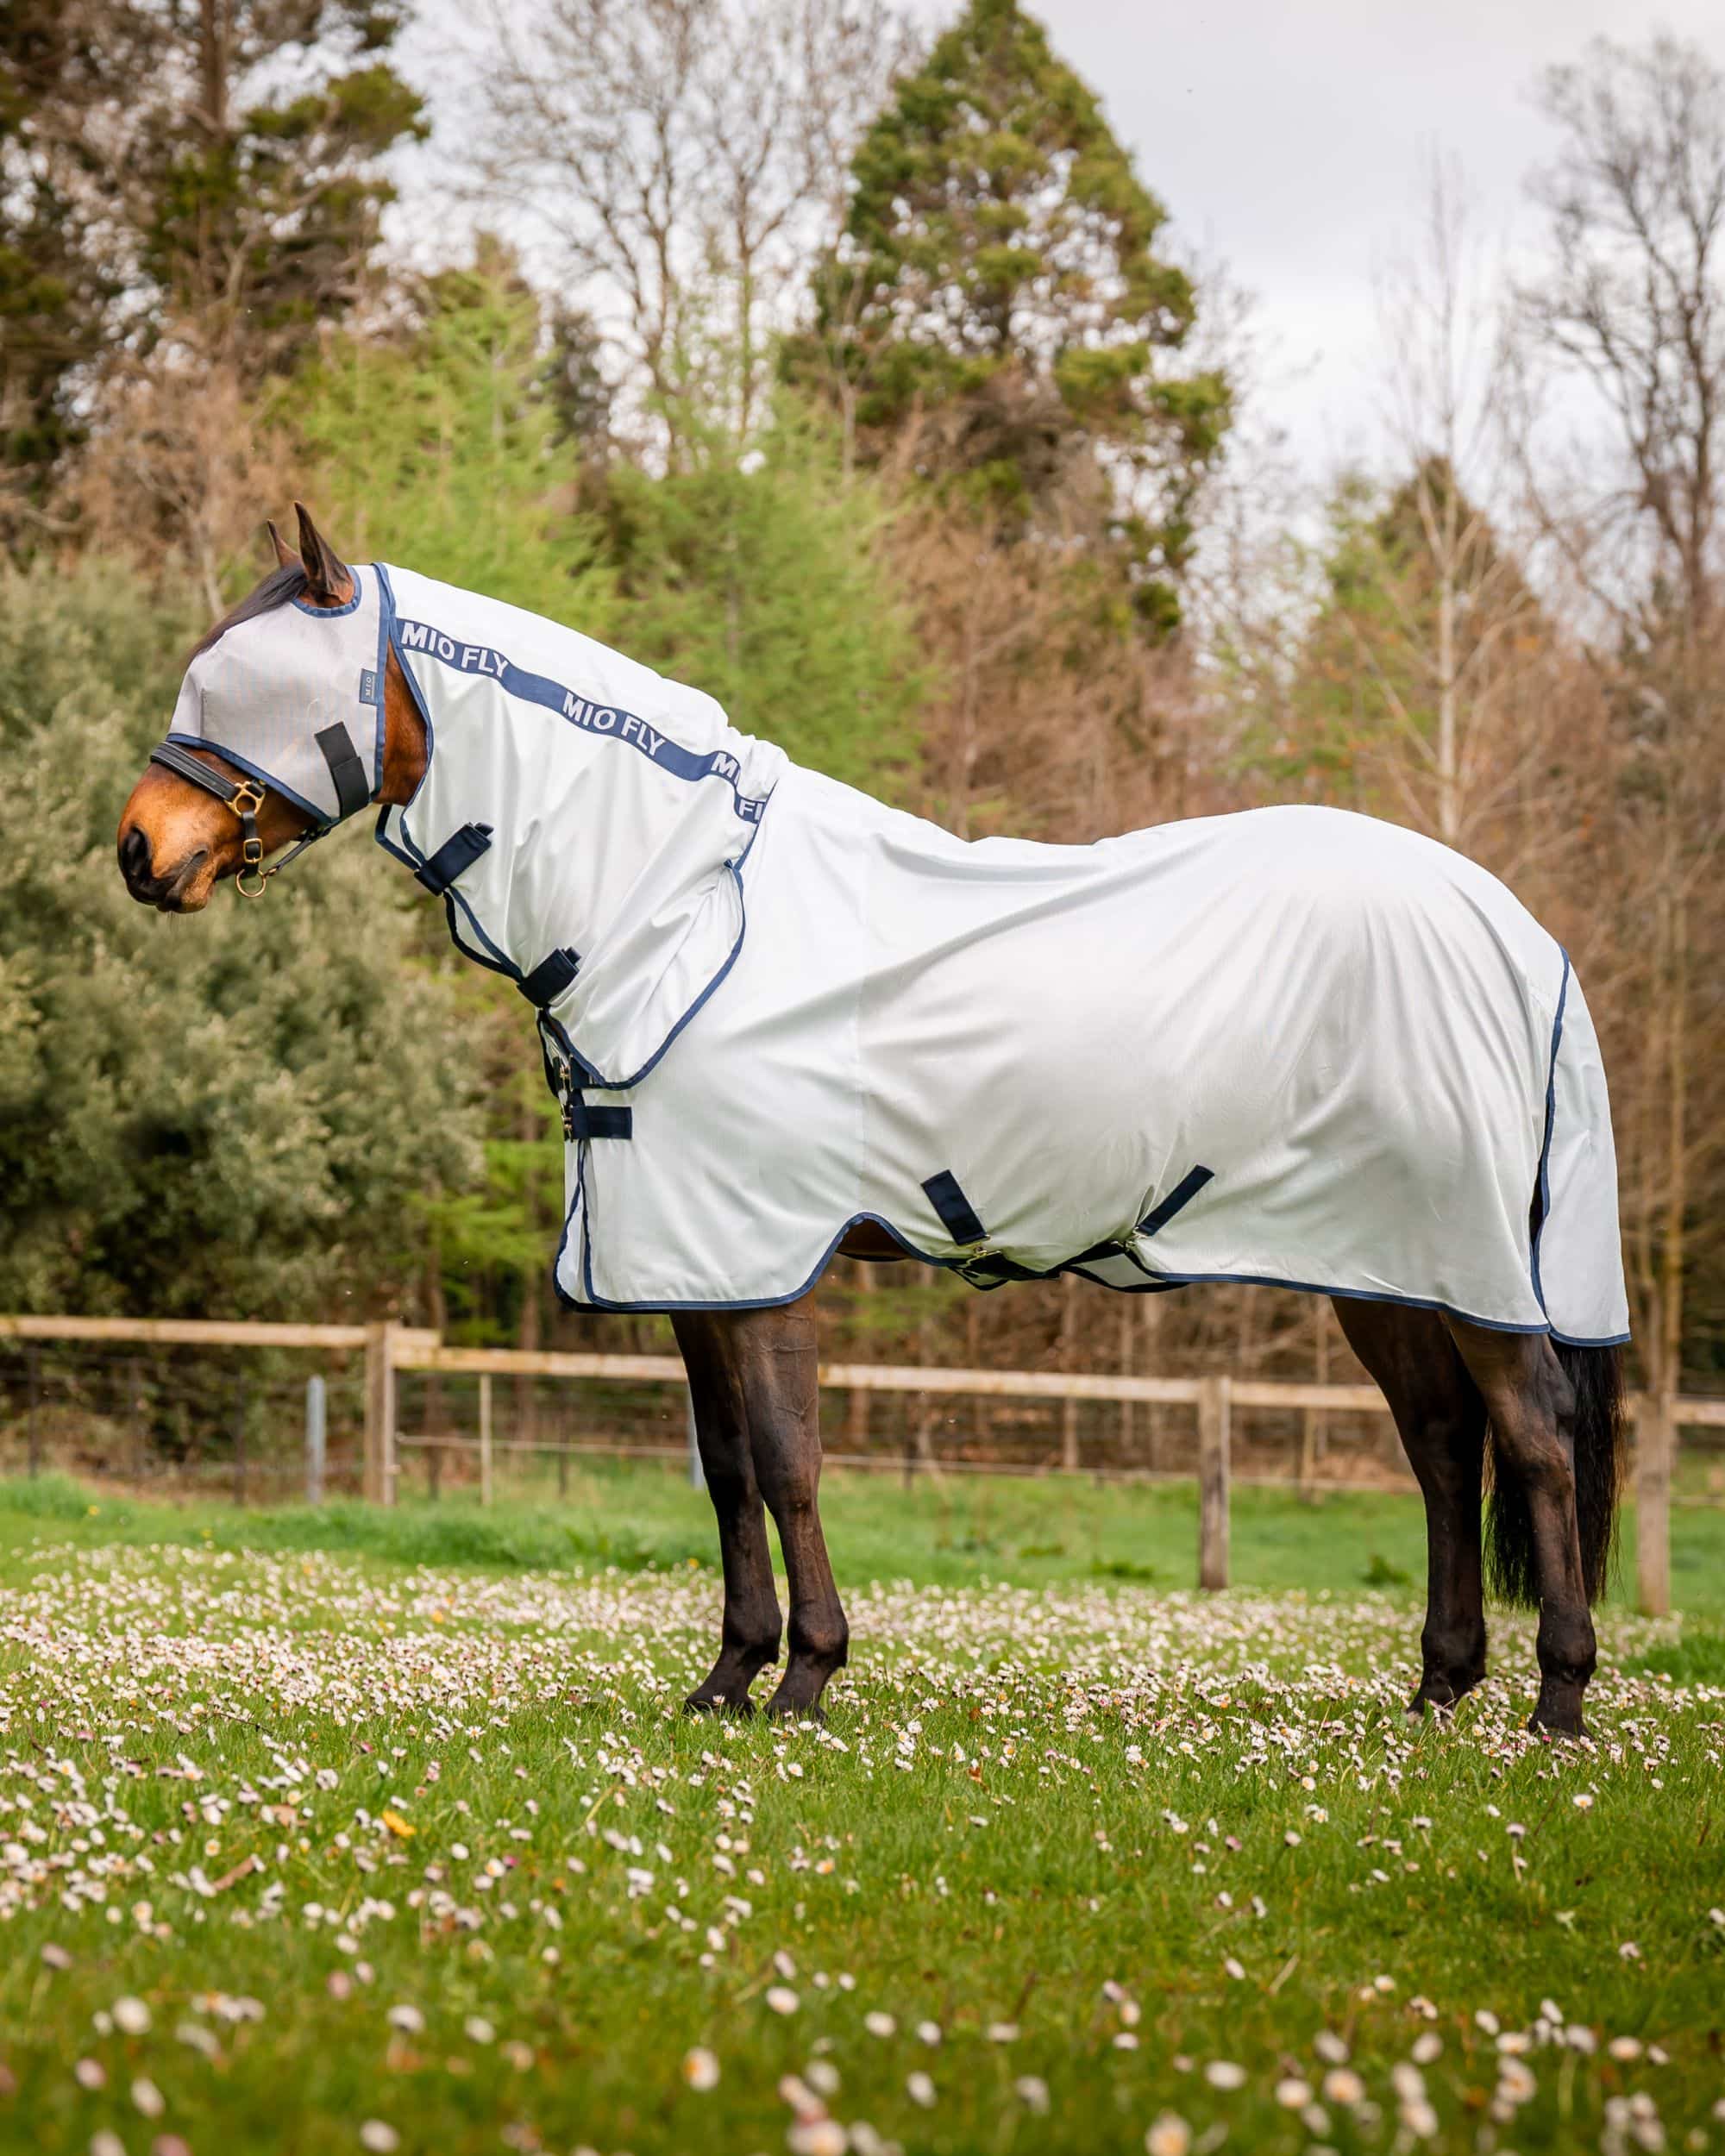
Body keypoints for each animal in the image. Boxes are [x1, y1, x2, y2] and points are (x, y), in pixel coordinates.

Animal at [114, 505, 1622, 1733]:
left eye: (252, 684)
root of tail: (1513, 930)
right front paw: (727, 1677)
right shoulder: (695, 1272)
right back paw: (1440, 1688)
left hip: (1465, 1264)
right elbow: (726, 1473)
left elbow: (787, 1464)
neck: (683, 911)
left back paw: (1556, 1703)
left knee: (1535, 1438)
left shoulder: (767, 1260)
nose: (139, 850)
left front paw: (808, 1677)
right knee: (1443, 1448)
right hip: (1383, 1265)